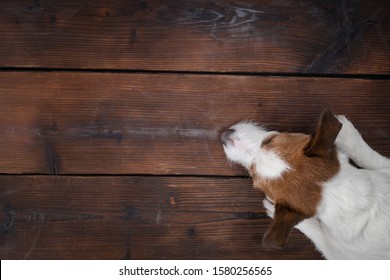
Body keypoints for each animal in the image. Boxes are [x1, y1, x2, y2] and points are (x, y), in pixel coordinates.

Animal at [222, 108, 390, 260]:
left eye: (253, 174)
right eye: (270, 139)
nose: (224, 136)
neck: (351, 197)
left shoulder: (339, 255)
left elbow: (319, 235)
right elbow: (374, 159)